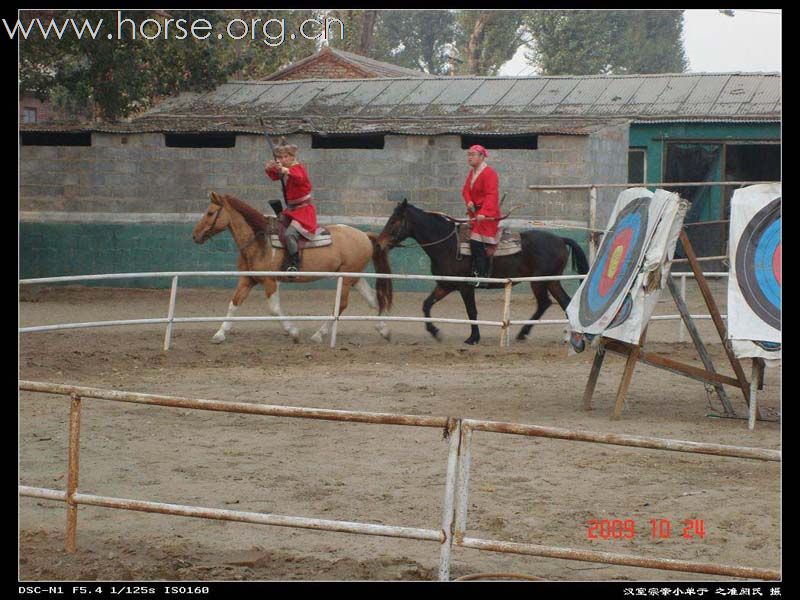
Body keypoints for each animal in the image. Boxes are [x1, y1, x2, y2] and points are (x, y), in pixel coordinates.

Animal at [194, 191, 394, 342]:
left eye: (210, 213)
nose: (195, 235)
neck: (260, 241)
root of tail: (364, 235)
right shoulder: (248, 279)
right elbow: (233, 304)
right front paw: (220, 333)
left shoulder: (270, 281)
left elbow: (274, 309)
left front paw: (293, 332)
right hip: (354, 277)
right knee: (373, 299)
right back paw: (383, 329)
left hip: (345, 279)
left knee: (342, 305)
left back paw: (319, 334)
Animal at [376, 199, 588, 344]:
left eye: (394, 221)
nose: (379, 243)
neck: (448, 245)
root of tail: (560, 239)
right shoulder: (445, 285)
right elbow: (426, 305)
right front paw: (435, 332)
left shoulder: (465, 287)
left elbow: (472, 310)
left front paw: (473, 338)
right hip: (551, 281)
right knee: (562, 302)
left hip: (541, 281)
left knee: (547, 303)